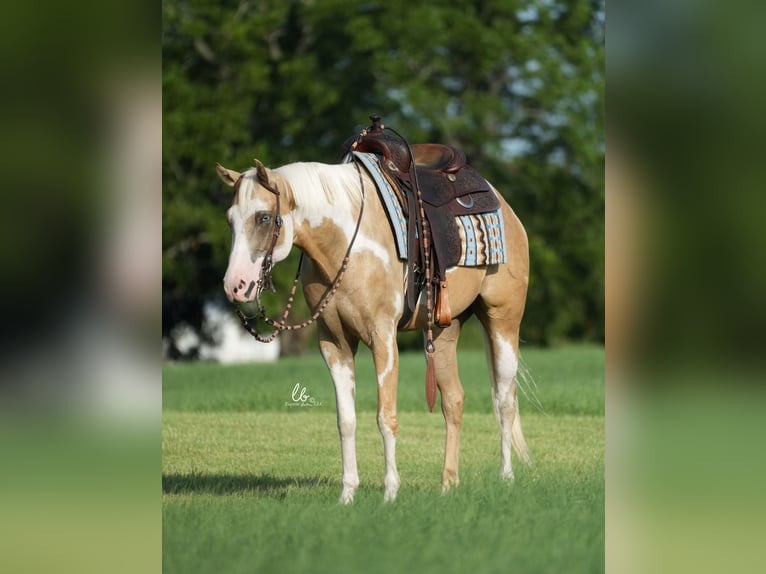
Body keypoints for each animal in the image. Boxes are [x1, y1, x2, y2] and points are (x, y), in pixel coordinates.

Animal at [214, 158, 528, 504]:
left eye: (264, 217)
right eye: (230, 219)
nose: (235, 285)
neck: (347, 246)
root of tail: (505, 207)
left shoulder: (383, 338)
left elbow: (385, 417)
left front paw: (390, 492)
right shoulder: (334, 344)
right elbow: (346, 420)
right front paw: (347, 494)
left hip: (502, 321)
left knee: (504, 399)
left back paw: (507, 478)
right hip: (445, 329)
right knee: (454, 400)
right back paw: (448, 484)